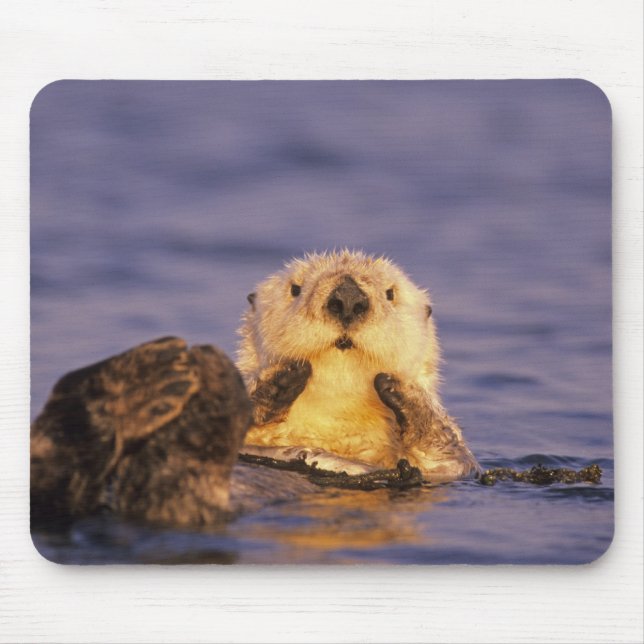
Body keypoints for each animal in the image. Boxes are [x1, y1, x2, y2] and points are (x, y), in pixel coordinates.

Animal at [237, 250, 479, 482]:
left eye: (390, 294)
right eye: (295, 289)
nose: (348, 298)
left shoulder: (445, 469)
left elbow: (452, 458)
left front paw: (401, 389)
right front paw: (279, 380)